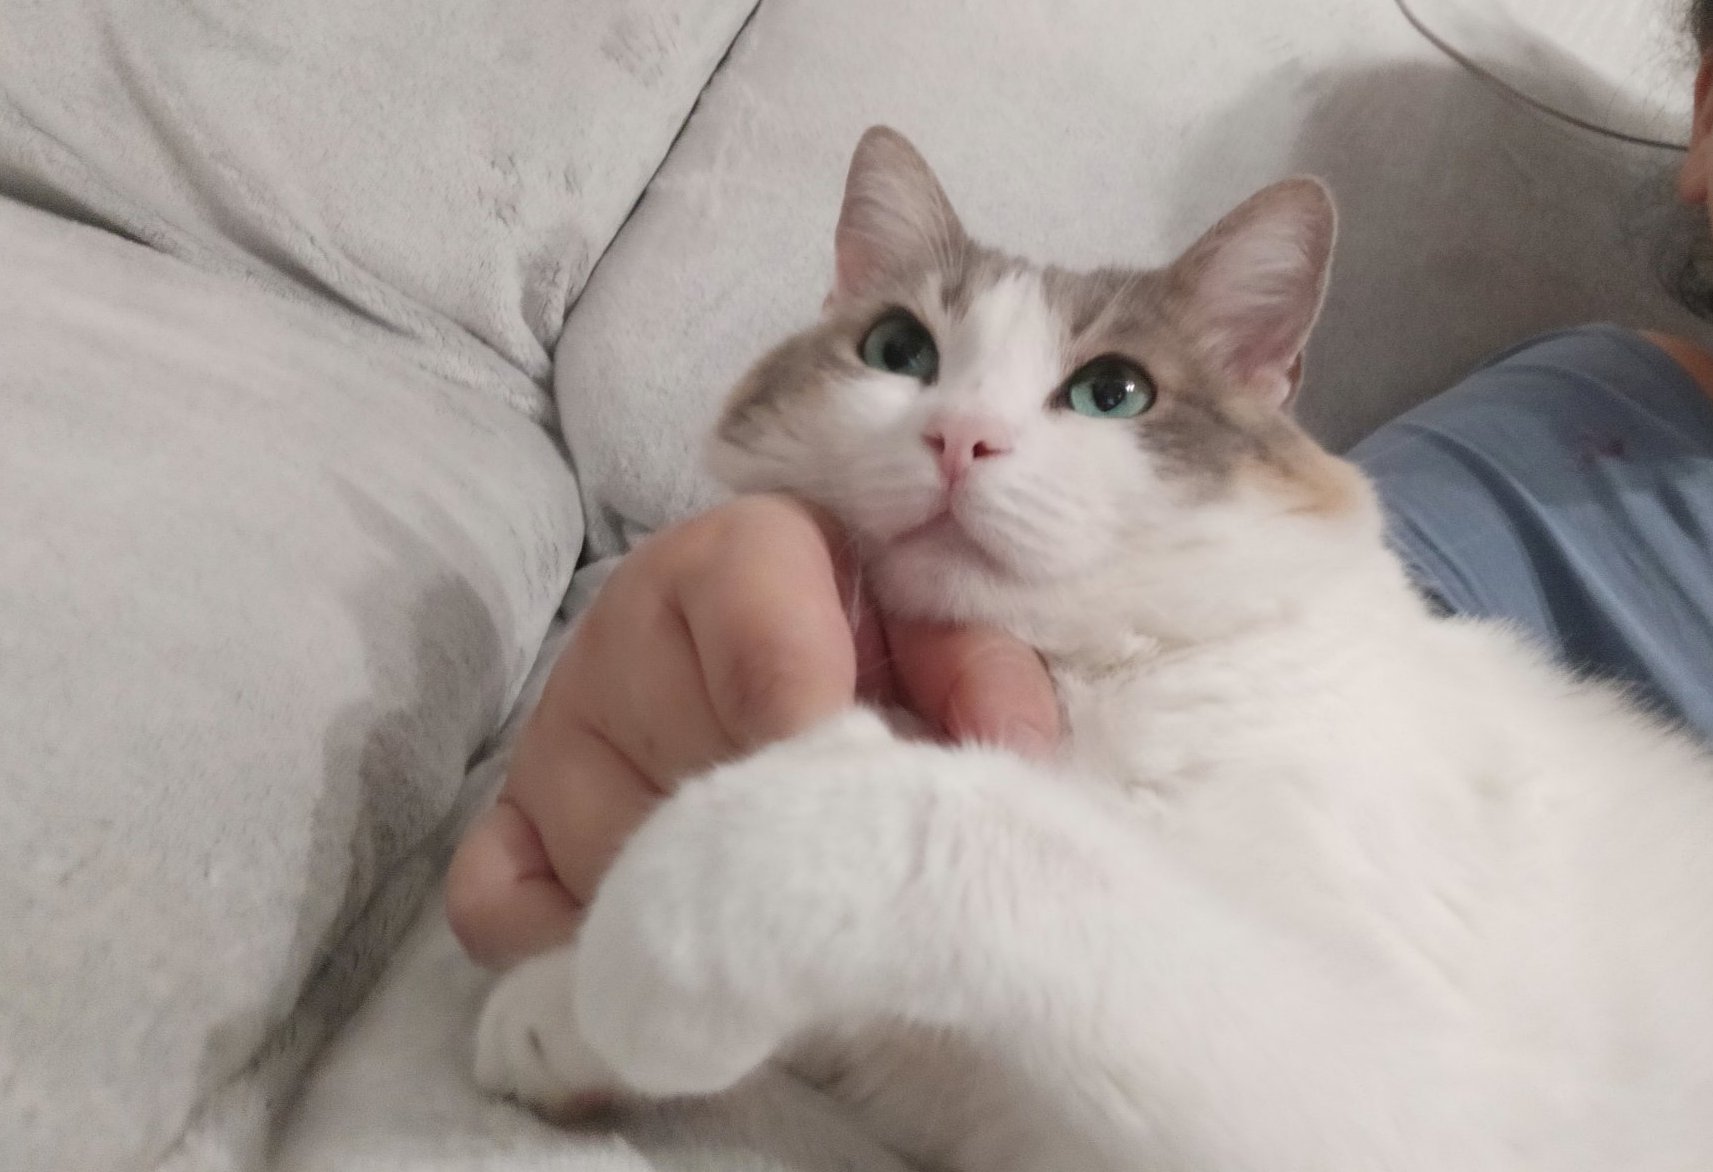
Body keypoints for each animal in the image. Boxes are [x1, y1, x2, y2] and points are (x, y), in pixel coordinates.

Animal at [474, 126, 1713, 1171]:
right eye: (897, 349)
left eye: (1113, 392)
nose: (958, 437)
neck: (1092, 681)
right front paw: (559, 1006)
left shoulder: (1425, 1089)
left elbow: (969, 817)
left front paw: (655, 945)